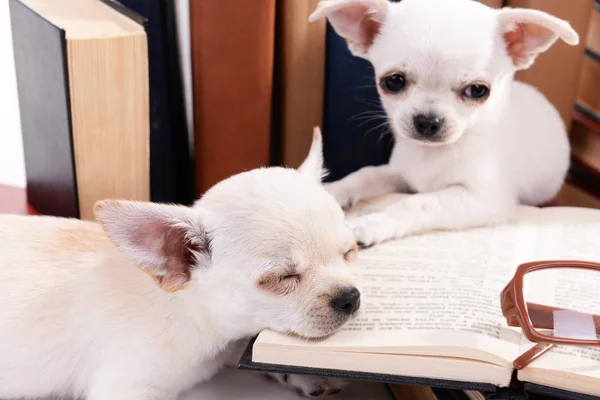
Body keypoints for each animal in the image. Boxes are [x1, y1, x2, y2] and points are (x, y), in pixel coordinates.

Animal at [308, 0, 580, 247]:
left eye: (477, 90)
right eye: (393, 81)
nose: (428, 121)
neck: (432, 154)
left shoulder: (484, 200)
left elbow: (418, 203)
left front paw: (369, 224)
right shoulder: (402, 174)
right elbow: (365, 174)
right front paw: (329, 191)